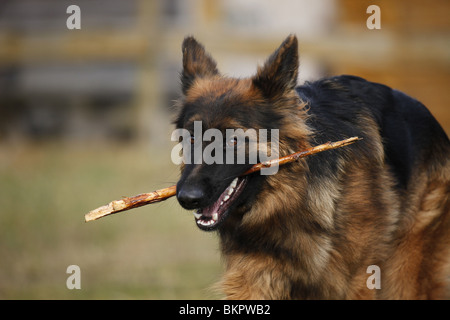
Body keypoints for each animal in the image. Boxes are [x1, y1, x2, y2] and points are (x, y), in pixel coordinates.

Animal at [172, 35, 450, 300]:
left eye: (233, 140)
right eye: (192, 138)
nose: (187, 198)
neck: (291, 202)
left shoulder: (359, 280)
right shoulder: (253, 279)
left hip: (403, 274)